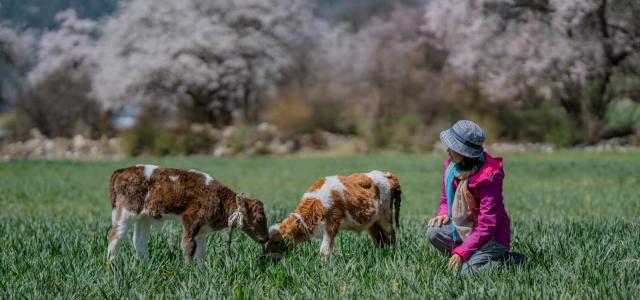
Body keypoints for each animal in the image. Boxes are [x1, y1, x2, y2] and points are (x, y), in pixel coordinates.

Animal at [107, 165, 268, 264]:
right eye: (259, 219)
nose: (266, 238)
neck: (218, 198)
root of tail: (122, 171)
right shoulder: (191, 221)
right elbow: (188, 246)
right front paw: (188, 269)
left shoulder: (202, 230)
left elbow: (201, 253)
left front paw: (201, 273)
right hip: (126, 214)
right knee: (114, 238)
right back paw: (113, 268)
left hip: (143, 218)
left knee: (139, 242)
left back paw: (146, 266)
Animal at [264, 171, 400, 260]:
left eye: (276, 242)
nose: (264, 257)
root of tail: (387, 174)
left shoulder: (331, 226)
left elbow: (324, 251)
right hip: (372, 221)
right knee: (378, 238)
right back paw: (378, 254)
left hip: (385, 217)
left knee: (390, 235)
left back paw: (391, 253)